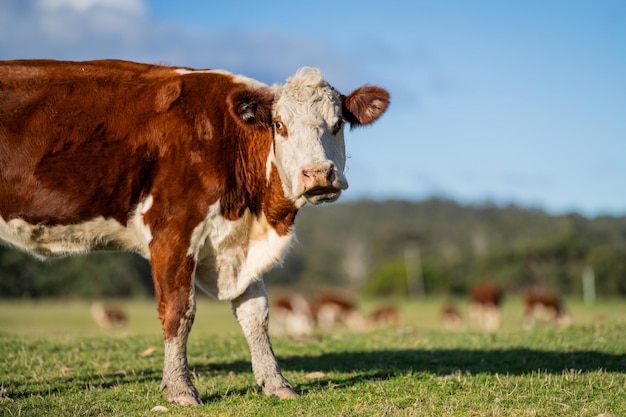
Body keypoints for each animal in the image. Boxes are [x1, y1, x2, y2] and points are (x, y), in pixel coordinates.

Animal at [0, 58, 388, 404]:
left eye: (338, 123)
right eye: (279, 124)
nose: (319, 174)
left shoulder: (238, 245)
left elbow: (256, 313)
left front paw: (276, 383)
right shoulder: (173, 232)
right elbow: (178, 311)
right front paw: (180, 389)